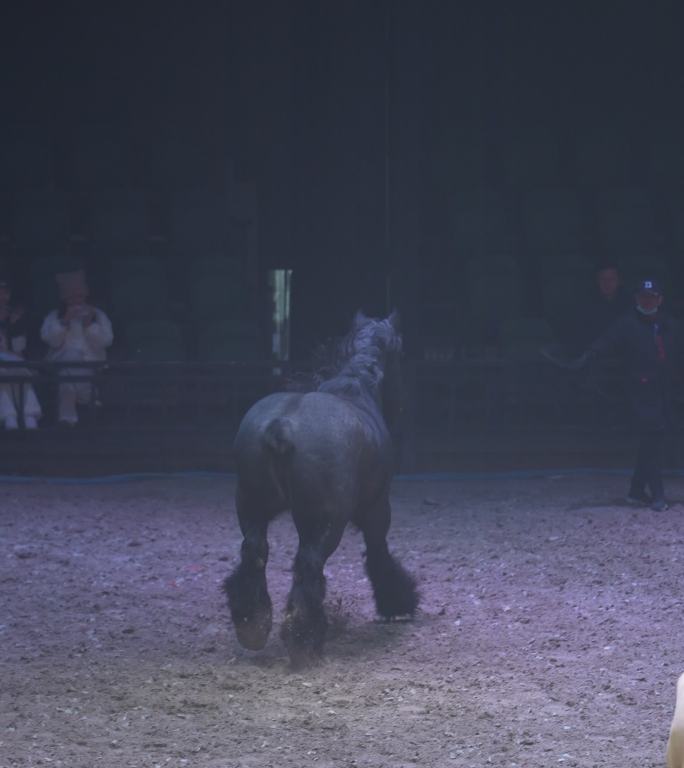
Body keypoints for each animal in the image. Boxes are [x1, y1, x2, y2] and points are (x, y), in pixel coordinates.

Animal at [224, 312, 416, 664]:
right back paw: (303, 639)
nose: (401, 406)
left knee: (254, 554)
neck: (356, 387)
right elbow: (379, 555)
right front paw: (398, 603)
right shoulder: (378, 510)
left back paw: (252, 625)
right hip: (324, 526)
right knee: (308, 567)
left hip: (250, 507)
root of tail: (281, 427)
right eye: (401, 354)